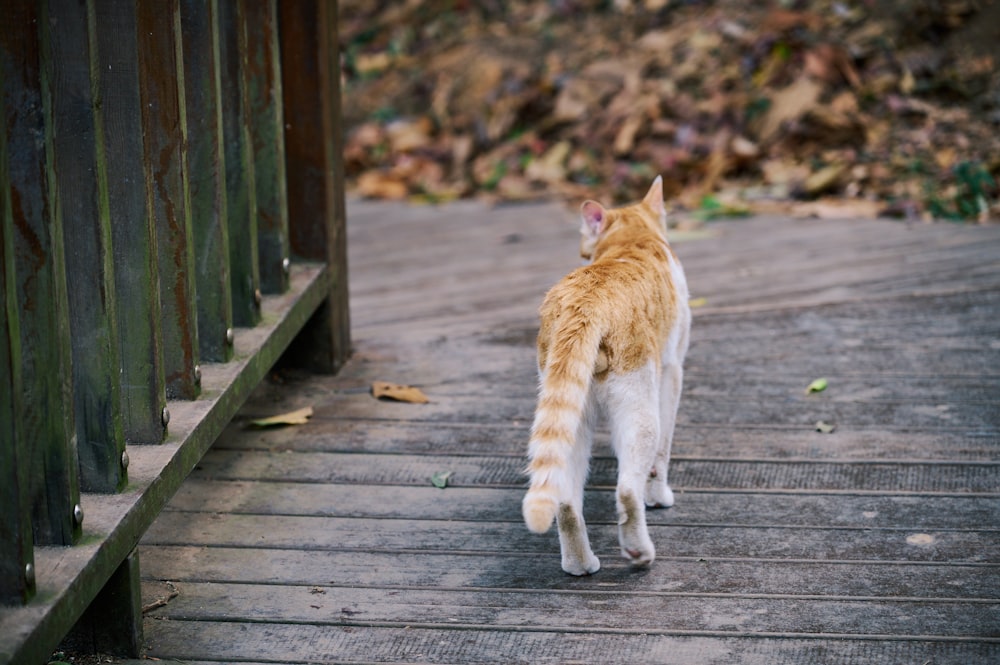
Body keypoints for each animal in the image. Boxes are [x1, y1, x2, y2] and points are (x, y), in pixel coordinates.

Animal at [524, 178, 688, 576]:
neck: (630, 239)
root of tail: (586, 304)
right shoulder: (672, 370)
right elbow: (662, 453)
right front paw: (659, 496)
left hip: (570, 413)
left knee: (565, 499)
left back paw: (580, 564)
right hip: (640, 407)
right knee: (627, 489)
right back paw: (639, 552)